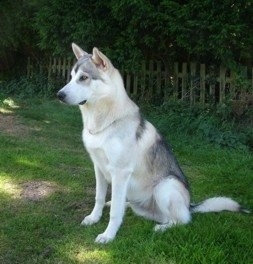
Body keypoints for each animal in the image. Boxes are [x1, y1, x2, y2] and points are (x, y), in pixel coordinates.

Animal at [56, 42, 249, 243]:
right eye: (71, 77)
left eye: (83, 78)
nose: (59, 94)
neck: (103, 122)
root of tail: (190, 205)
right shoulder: (99, 168)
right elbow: (99, 198)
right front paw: (94, 218)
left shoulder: (120, 173)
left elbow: (115, 212)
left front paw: (108, 235)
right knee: (135, 207)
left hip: (165, 188)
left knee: (182, 220)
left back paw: (162, 228)